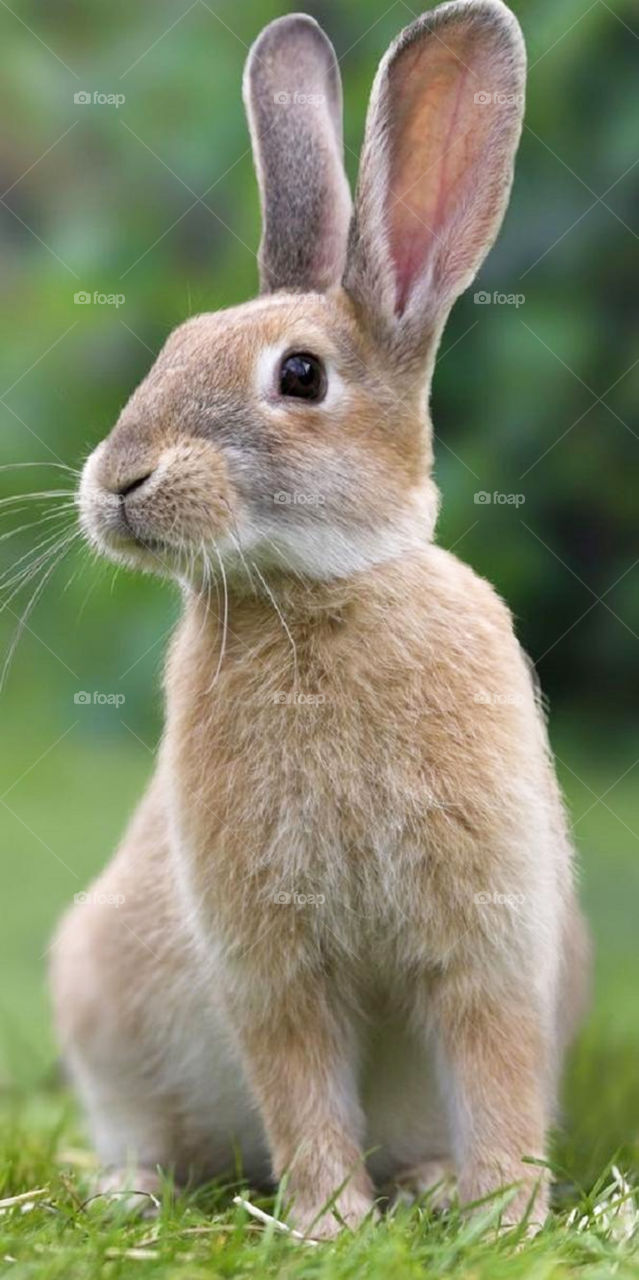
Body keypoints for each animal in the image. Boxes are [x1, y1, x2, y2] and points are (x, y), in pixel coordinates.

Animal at [50, 0, 589, 1241]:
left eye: (300, 376)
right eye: (173, 347)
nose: (119, 481)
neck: (313, 592)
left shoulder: (490, 932)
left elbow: (494, 1066)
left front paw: (503, 1214)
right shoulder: (271, 954)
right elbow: (299, 1082)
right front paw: (330, 1222)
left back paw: (431, 1183)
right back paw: (133, 1189)